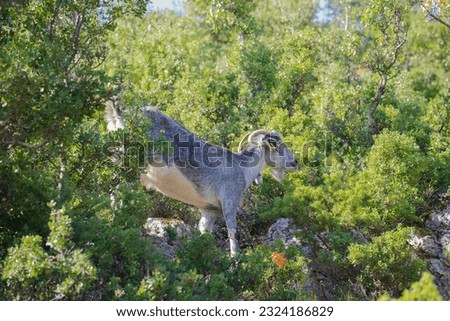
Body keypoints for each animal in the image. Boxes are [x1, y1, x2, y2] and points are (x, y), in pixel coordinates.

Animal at [106, 104, 298, 256]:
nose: (295, 162)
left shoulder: (209, 211)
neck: (241, 168)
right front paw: (235, 258)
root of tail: (120, 115)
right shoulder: (229, 199)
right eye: (278, 145)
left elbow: (204, 231)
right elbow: (232, 232)